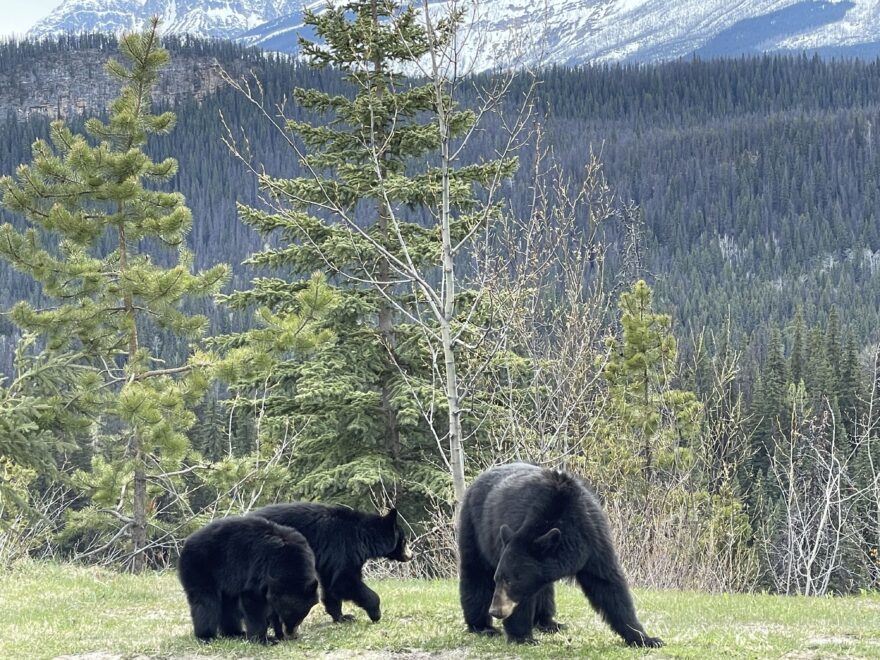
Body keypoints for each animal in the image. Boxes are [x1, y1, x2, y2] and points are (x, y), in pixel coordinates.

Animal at [177, 516, 318, 644]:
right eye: (287, 613)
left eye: (302, 615)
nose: (291, 634)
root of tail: (186, 542)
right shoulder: (260, 567)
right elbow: (253, 598)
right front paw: (264, 639)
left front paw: (278, 635)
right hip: (200, 566)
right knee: (206, 601)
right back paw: (206, 637)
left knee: (229, 604)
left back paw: (235, 633)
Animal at [249, 506, 410, 624]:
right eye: (404, 541)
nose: (410, 555)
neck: (363, 536)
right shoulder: (344, 547)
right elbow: (345, 581)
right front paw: (376, 614)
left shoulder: (331, 558)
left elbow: (331, 584)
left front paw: (342, 617)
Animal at [460, 462, 660, 648]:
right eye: (499, 578)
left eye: (509, 581)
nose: (496, 611)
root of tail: (478, 479)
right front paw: (522, 637)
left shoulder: (594, 536)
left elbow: (608, 584)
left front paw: (645, 638)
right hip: (473, 526)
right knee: (476, 572)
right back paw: (483, 626)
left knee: (544, 589)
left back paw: (548, 623)